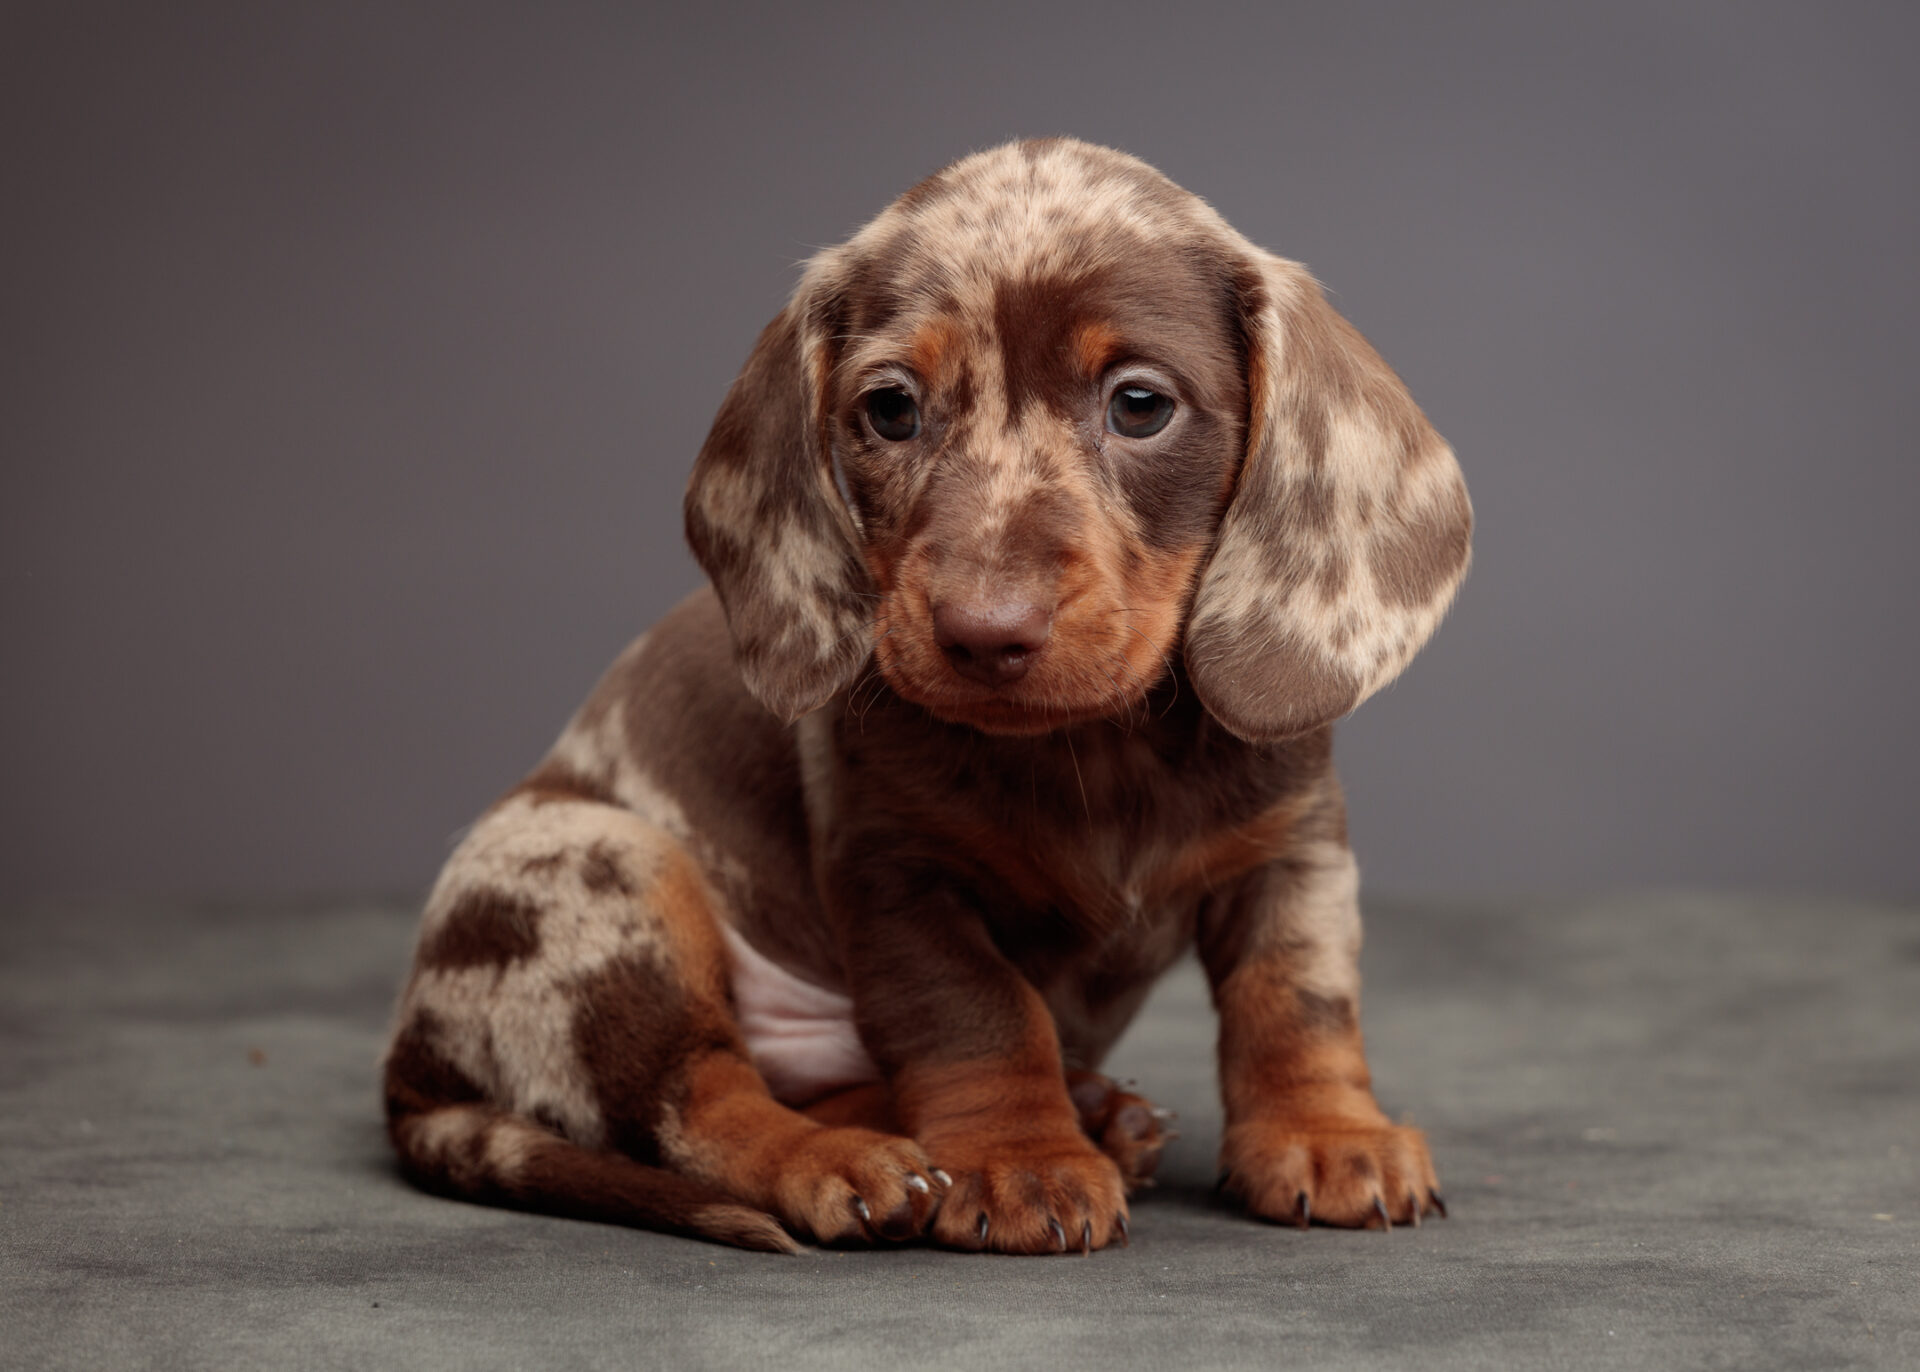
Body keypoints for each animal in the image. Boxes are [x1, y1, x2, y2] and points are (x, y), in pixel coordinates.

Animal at [382, 139, 1474, 1258]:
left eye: (1140, 404)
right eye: (891, 408)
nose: (983, 629)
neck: (1098, 749)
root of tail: (412, 1069)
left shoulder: (1294, 848)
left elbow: (1294, 999)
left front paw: (1328, 1135)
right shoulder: (899, 873)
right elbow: (977, 1016)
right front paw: (1017, 1159)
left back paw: (1086, 1111)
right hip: (602, 865)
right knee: (702, 1100)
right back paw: (846, 1164)